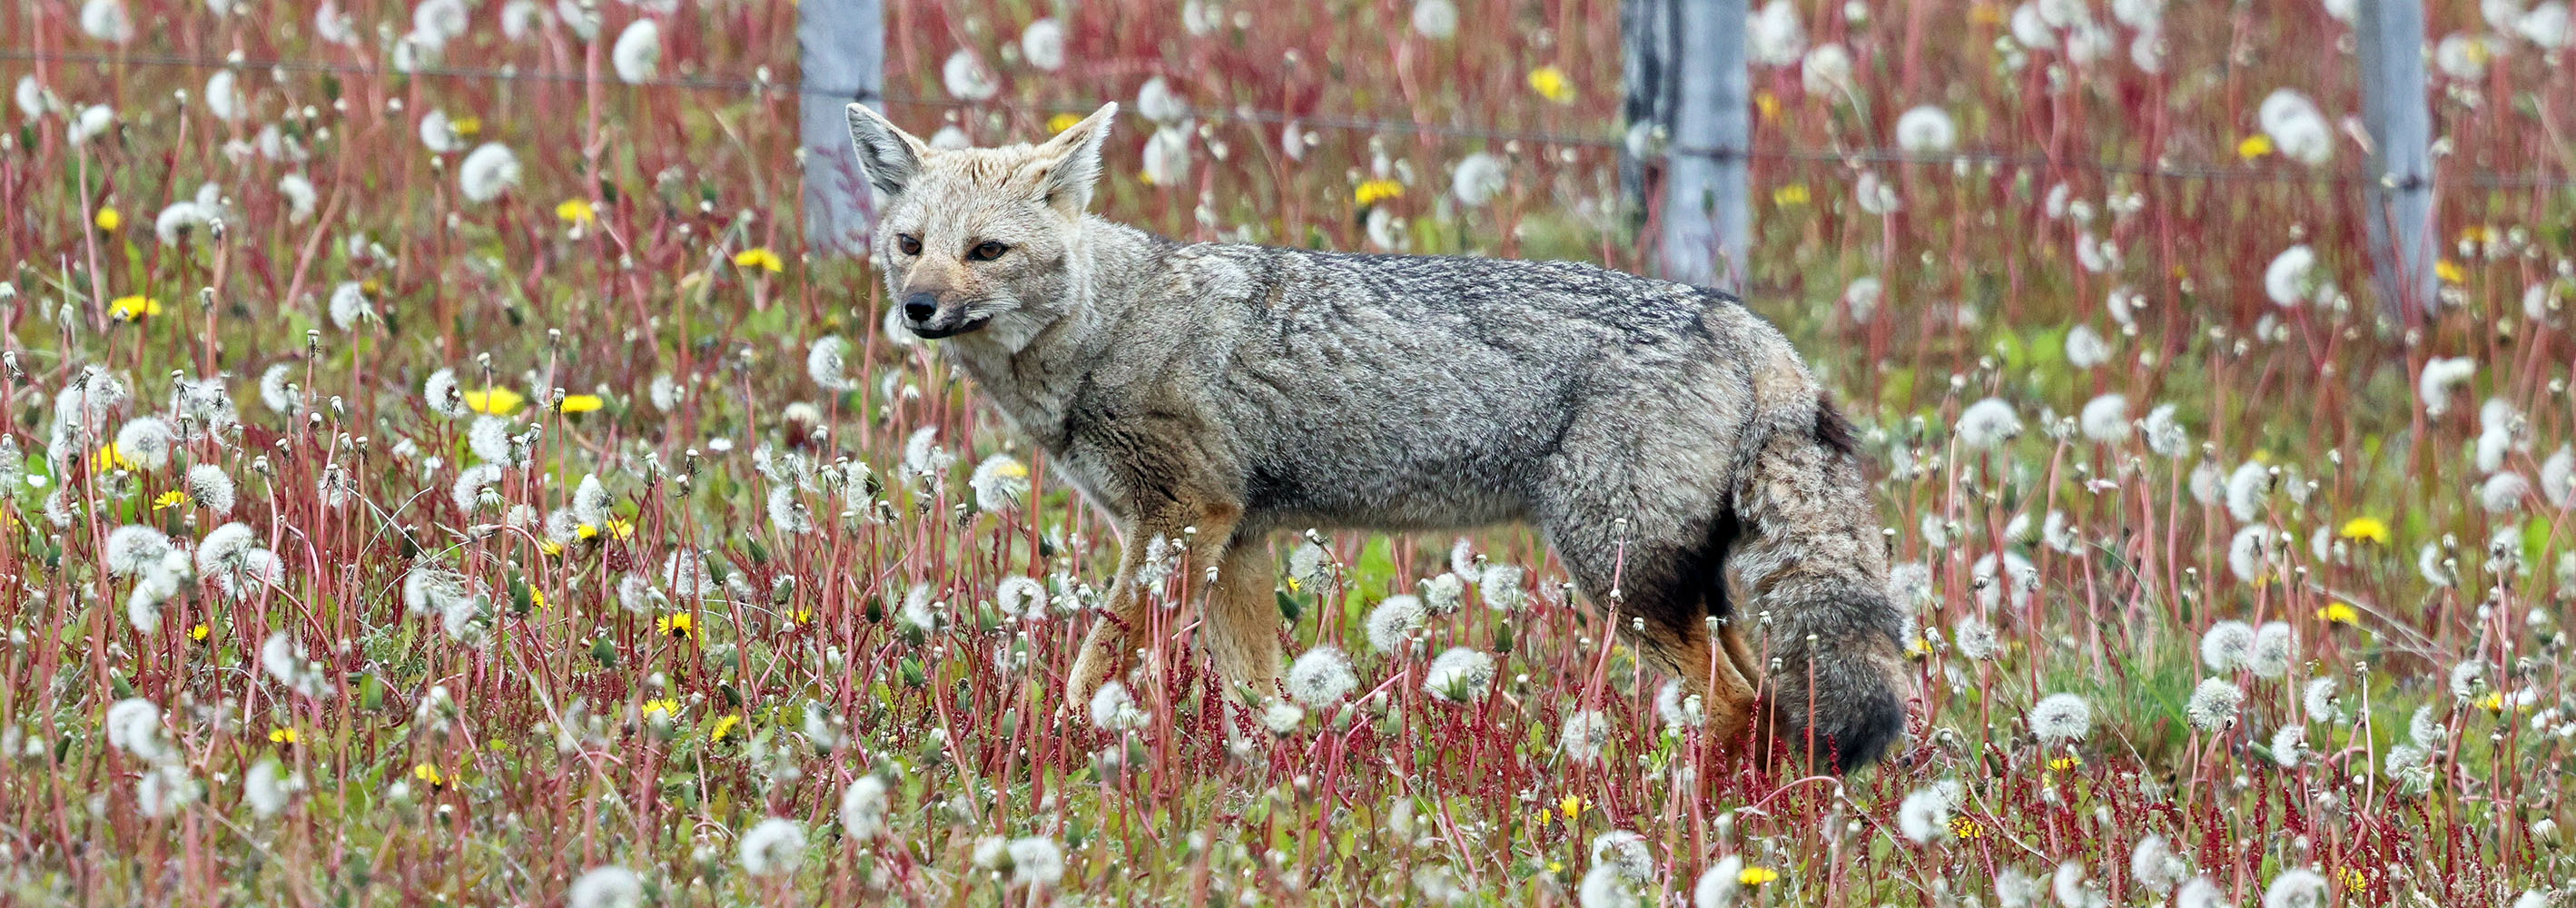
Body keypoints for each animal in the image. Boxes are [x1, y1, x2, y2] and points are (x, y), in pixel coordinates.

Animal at [850, 103, 1916, 768]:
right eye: (910, 245)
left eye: (986, 250)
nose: (917, 309)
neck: (1110, 322)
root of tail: (1737, 319)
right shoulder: (1238, 538)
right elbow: (1260, 694)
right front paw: (1272, 778)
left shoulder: (1181, 520)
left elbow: (1091, 670)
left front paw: (1064, 746)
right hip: (1686, 592)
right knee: (1770, 704)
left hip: (1624, 582)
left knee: (1739, 707)